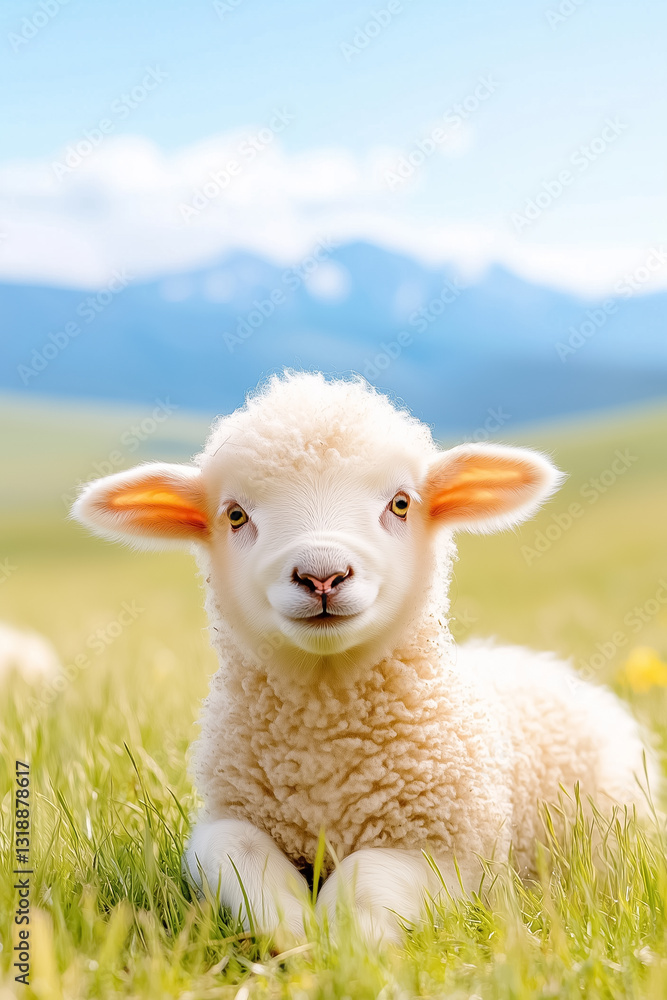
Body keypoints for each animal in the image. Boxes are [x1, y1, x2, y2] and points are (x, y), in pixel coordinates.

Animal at [72, 371, 657, 943]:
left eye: (400, 503)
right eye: (236, 515)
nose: (321, 574)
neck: (326, 735)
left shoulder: (454, 847)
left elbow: (368, 876)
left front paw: (345, 943)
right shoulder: (224, 818)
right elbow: (240, 854)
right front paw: (292, 929)